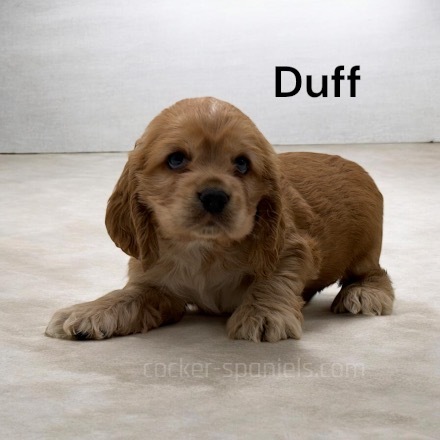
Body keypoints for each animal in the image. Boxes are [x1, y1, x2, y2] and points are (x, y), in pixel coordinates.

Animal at [46, 97, 394, 342]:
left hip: (366, 248)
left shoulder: (292, 246)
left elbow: (274, 278)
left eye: (242, 164)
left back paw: (363, 294)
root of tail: (354, 164)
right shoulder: (154, 281)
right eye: (176, 159)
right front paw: (89, 311)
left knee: (375, 273)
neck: (204, 249)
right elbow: (128, 296)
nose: (214, 196)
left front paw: (262, 315)